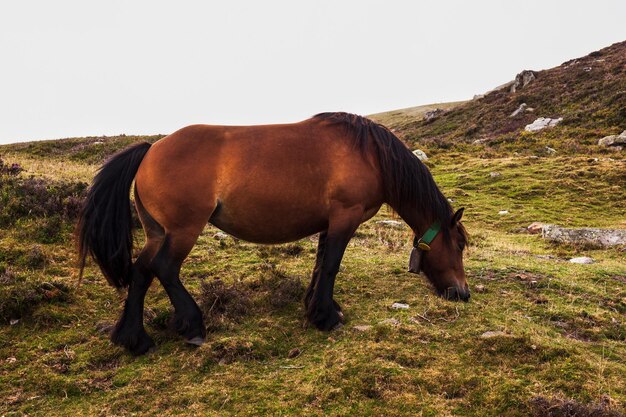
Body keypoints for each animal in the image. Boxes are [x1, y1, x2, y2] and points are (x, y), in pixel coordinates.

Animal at [75, 113, 466, 354]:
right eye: (460, 245)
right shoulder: (345, 217)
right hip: (183, 230)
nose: (462, 293)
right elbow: (331, 267)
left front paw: (317, 308)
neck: (369, 154)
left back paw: (133, 338)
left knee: (141, 272)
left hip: (158, 232)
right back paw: (193, 325)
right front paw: (326, 317)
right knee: (165, 269)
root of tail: (151, 150)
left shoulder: (329, 223)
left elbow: (320, 265)